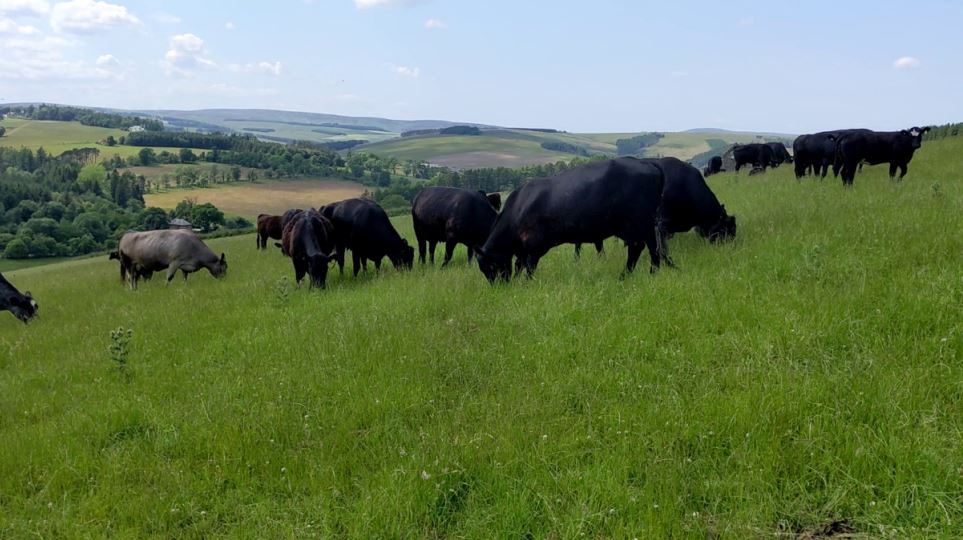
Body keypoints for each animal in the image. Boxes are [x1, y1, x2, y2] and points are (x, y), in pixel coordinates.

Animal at [476, 156, 672, 282]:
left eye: (490, 267)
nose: (499, 287)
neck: (519, 207)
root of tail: (647, 163)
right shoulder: (522, 248)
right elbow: (519, 264)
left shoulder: (534, 244)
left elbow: (529, 266)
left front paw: (526, 283)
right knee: (638, 248)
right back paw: (625, 276)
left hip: (642, 224)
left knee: (650, 248)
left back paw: (649, 274)